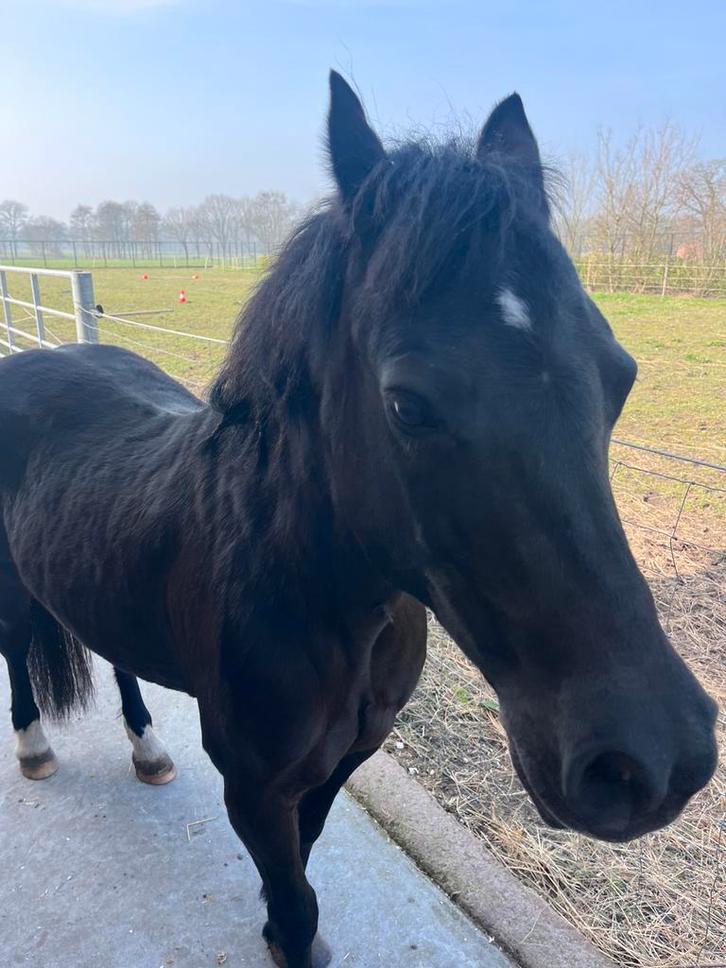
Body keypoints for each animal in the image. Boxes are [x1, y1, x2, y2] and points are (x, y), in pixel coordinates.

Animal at [0, 72, 717, 968]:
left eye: (619, 376)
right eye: (406, 404)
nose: (653, 761)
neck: (300, 585)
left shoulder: (343, 761)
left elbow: (301, 873)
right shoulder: (253, 785)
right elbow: (297, 900)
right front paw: (286, 935)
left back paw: (147, 748)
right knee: (15, 650)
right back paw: (34, 746)